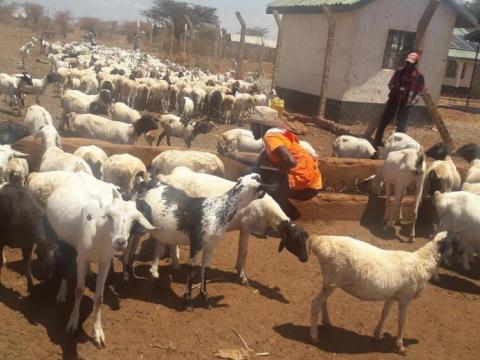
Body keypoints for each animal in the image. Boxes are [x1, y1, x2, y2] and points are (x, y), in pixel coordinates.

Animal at [310, 232, 460, 356]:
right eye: (457, 242)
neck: (422, 262)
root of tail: (319, 241)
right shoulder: (405, 298)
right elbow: (402, 321)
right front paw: (400, 346)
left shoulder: (391, 296)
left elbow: (385, 314)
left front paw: (377, 335)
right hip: (332, 280)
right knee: (315, 303)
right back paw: (314, 337)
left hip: (330, 282)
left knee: (323, 301)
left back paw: (327, 322)